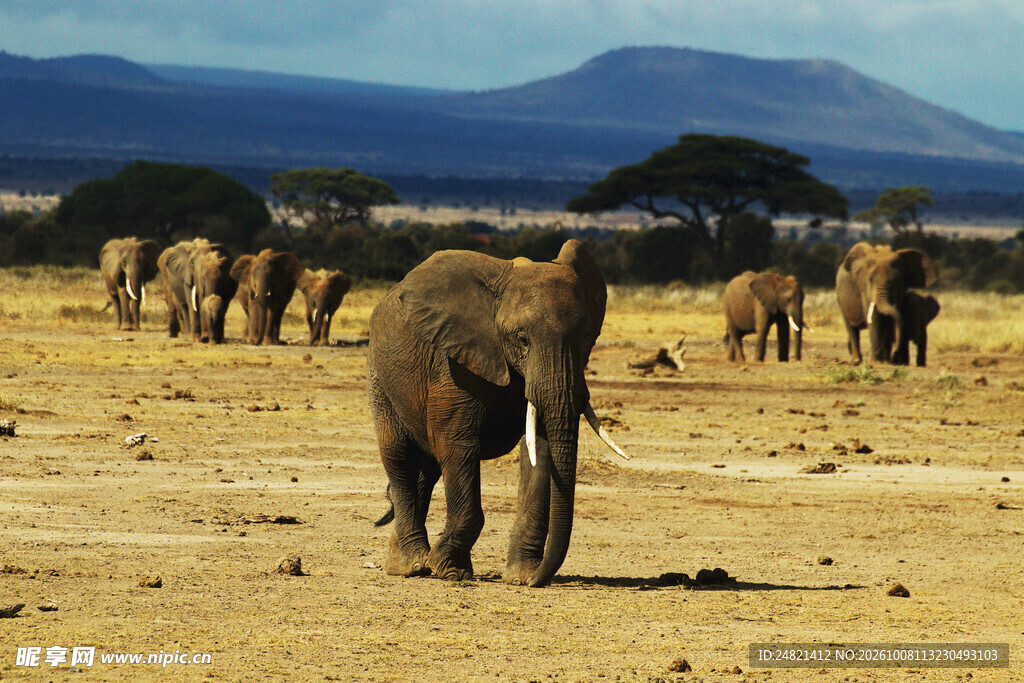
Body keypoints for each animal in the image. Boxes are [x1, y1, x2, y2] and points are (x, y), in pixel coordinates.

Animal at [368, 239, 628, 588]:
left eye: (586, 336)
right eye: (521, 338)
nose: (537, 581)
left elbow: (540, 449)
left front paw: (521, 576)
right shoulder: (453, 364)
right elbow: (456, 444)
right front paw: (451, 571)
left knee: (427, 468)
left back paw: (403, 562)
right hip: (379, 374)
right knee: (399, 456)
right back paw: (413, 566)